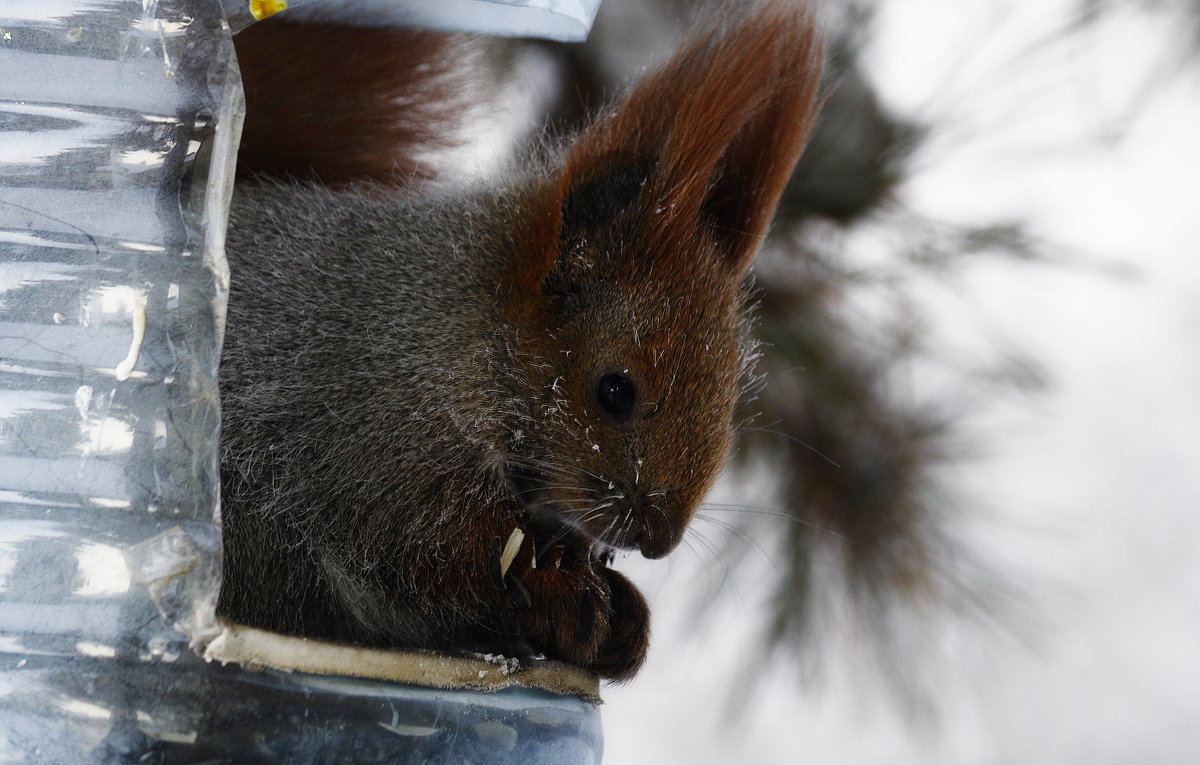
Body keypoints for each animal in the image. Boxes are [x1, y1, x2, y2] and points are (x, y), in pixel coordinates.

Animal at [218, 2, 825, 681]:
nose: (659, 541)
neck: (464, 334)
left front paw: (624, 614)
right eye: (615, 391)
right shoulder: (374, 436)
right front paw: (559, 595)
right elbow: (421, 558)